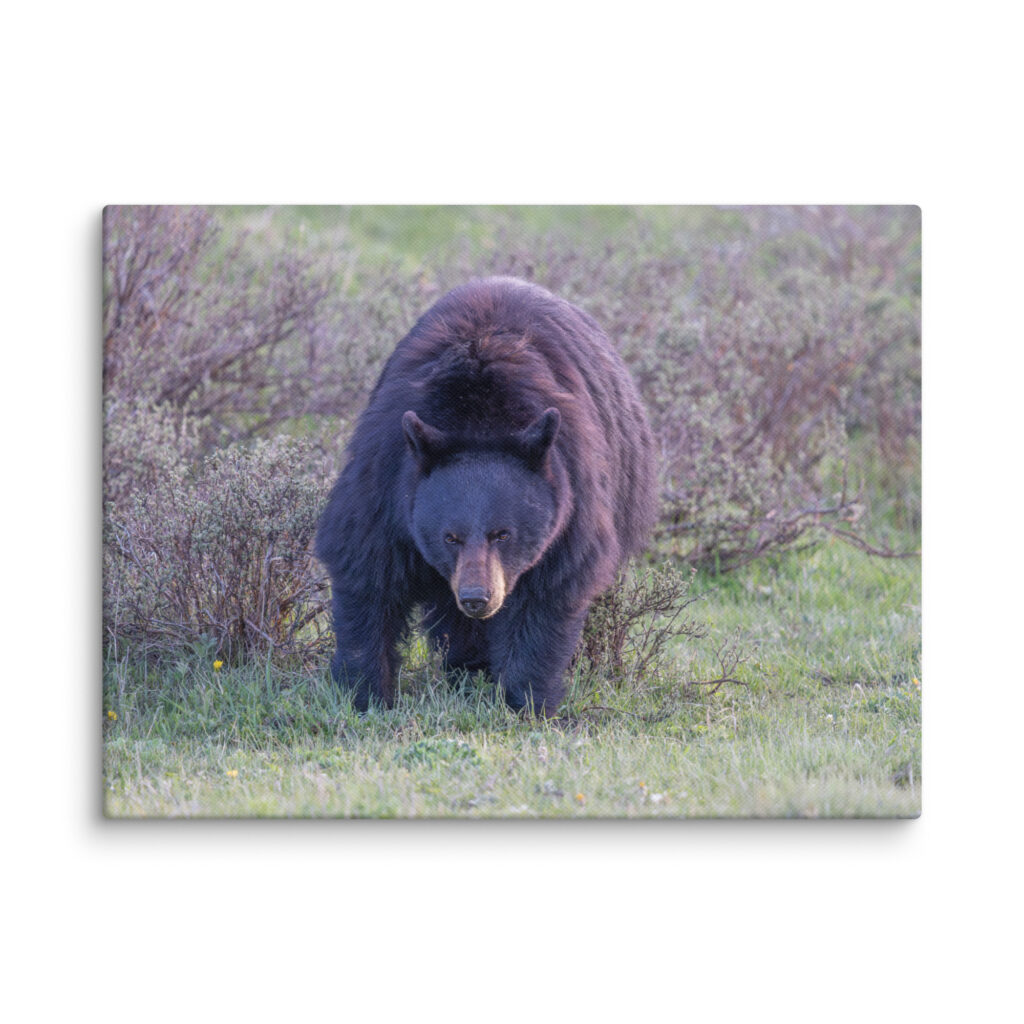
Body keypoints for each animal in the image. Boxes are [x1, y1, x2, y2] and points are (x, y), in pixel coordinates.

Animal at [314, 276, 657, 715]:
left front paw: (528, 701)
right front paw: (366, 693)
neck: (478, 417)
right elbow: (366, 571)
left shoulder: (572, 495)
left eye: (503, 533)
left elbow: (548, 593)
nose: (477, 598)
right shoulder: (387, 479)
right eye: (450, 536)